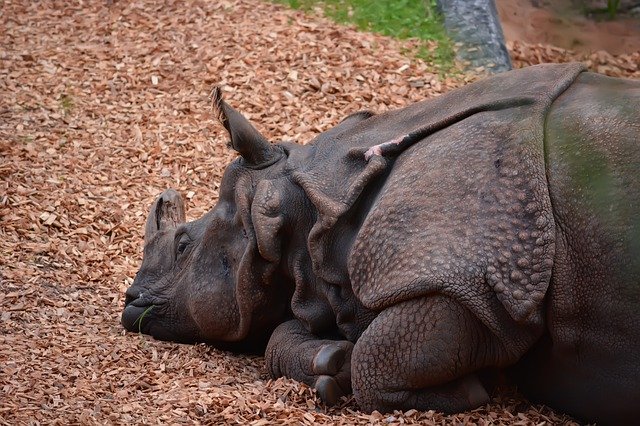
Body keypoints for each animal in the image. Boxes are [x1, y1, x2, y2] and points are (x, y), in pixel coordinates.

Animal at [124, 63, 640, 422]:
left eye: (183, 245)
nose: (131, 303)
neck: (311, 207)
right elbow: (289, 334)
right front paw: (330, 362)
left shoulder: (475, 277)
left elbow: (378, 359)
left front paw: (472, 391)